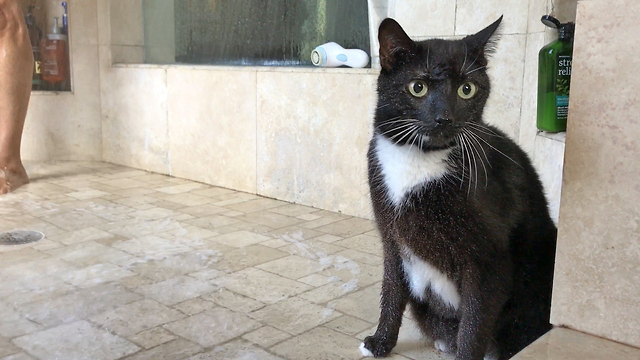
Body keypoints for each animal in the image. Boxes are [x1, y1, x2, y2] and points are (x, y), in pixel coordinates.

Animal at [362, 16, 556, 360]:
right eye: (418, 87)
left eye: (467, 89)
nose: (445, 118)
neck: (420, 158)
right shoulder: (392, 237)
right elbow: (392, 290)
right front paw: (381, 341)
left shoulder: (488, 260)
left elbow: (474, 321)